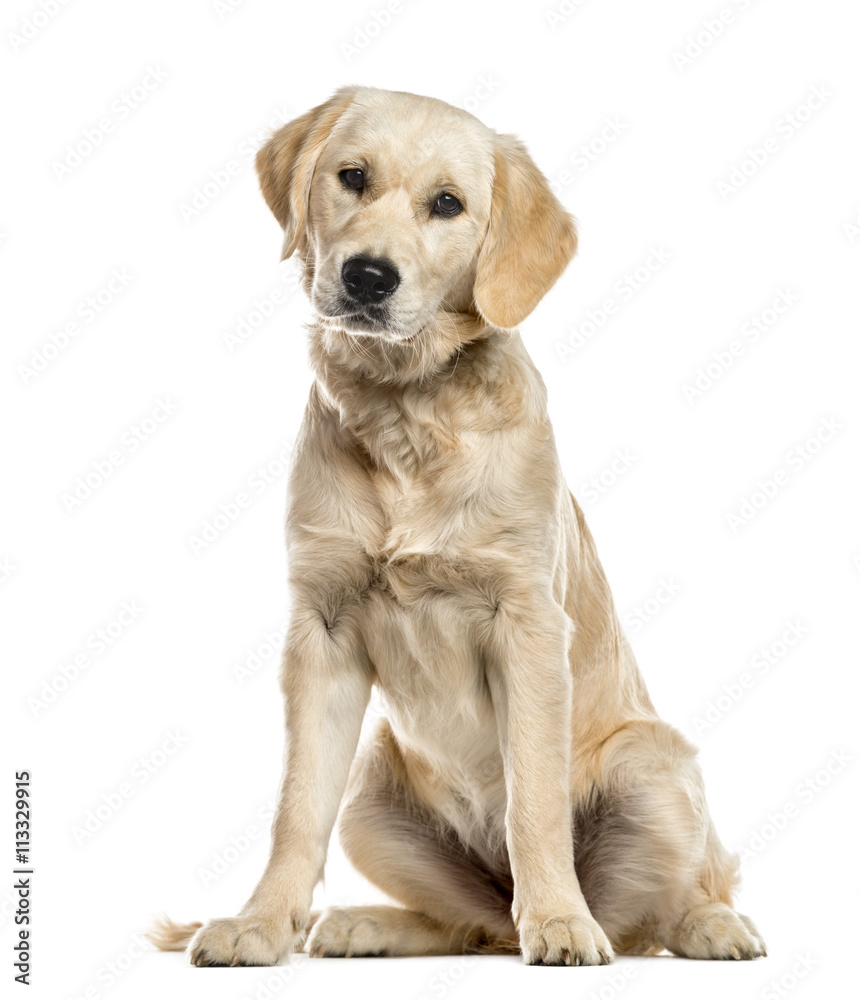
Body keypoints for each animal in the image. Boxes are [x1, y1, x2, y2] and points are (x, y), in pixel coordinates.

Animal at [149, 88, 764, 968]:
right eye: (352, 177)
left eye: (448, 204)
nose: (368, 276)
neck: (407, 416)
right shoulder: (321, 630)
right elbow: (295, 810)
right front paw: (260, 925)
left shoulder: (528, 623)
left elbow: (533, 802)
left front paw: (560, 922)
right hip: (372, 785)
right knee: (471, 923)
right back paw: (367, 924)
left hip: (653, 762)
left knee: (658, 911)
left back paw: (700, 925)